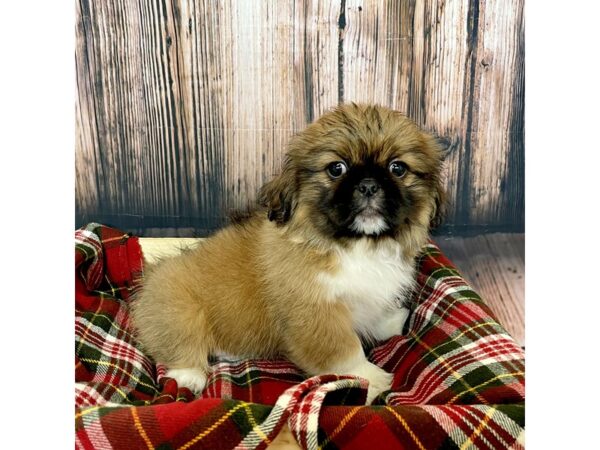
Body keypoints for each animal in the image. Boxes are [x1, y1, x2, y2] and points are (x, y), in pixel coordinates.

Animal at [131, 103, 442, 402]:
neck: (354, 245)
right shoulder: (315, 314)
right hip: (177, 305)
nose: (368, 185)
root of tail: (152, 275)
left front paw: (392, 323)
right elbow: (345, 350)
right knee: (180, 343)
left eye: (397, 168)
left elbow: (374, 317)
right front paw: (372, 377)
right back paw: (190, 375)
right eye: (336, 169)